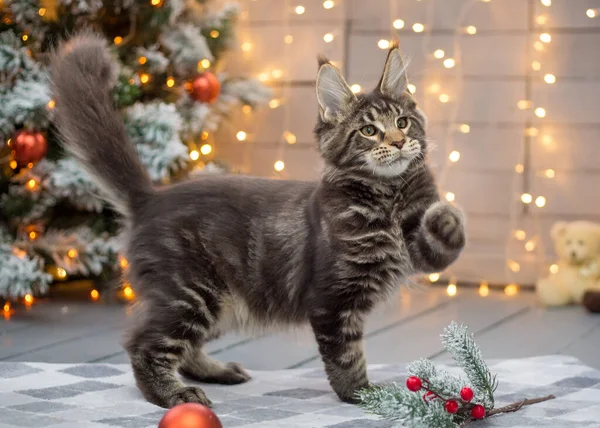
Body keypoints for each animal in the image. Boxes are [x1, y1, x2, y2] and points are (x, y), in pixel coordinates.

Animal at [50, 34, 464, 408]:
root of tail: (151, 197)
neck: (386, 198)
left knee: (184, 349)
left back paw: (218, 371)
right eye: (369, 130)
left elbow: (442, 243)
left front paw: (445, 215)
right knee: (144, 345)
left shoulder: (417, 255)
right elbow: (346, 356)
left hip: (223, 303)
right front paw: (363, 394)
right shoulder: (333, 299)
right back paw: (174, 395)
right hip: (191, 291)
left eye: (403, 122)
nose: (398, 142)